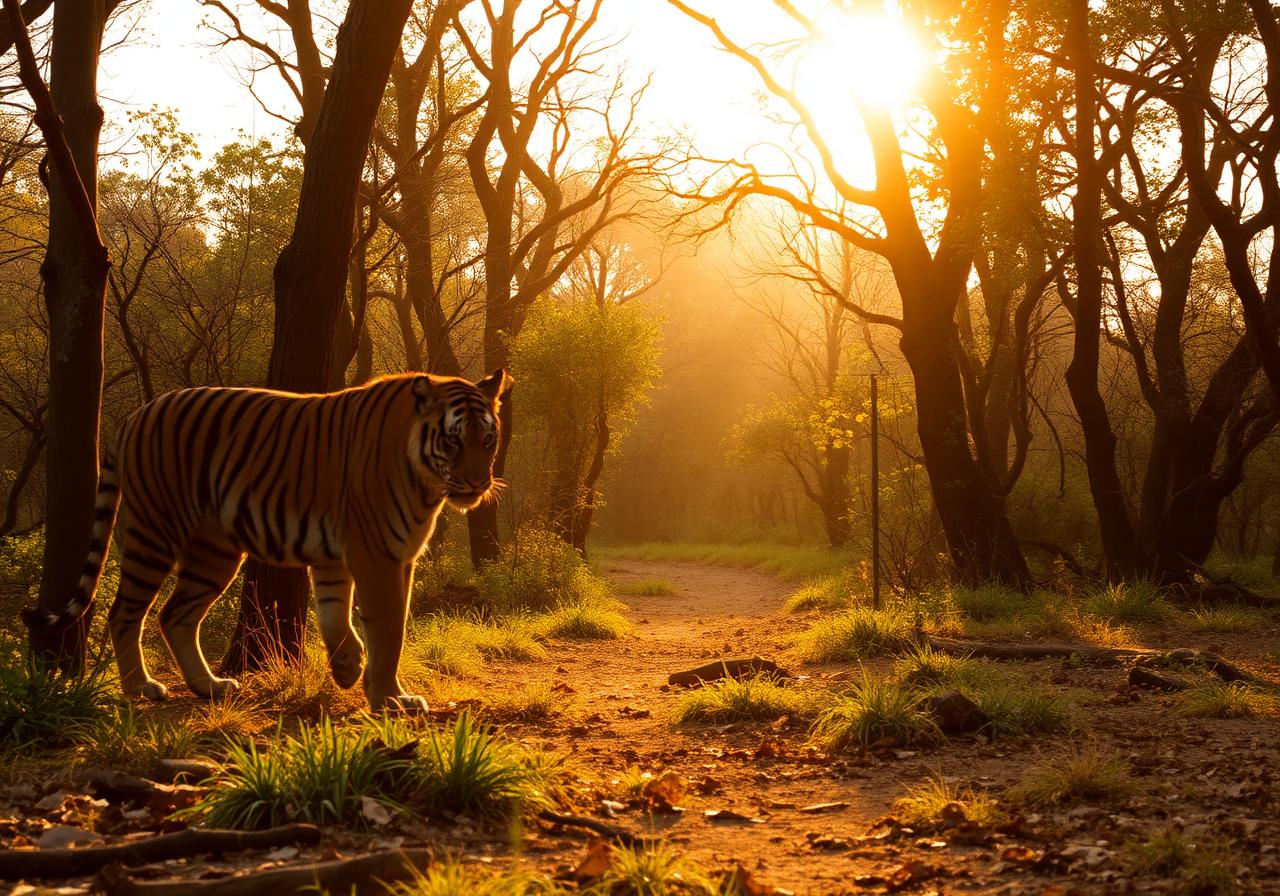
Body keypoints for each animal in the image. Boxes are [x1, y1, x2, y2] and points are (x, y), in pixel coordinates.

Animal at [23, 370, 511, 712]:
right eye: (453, 440)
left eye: (488, 439)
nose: (477, 483)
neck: (427, 482)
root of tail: (135, 414)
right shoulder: (381, 556)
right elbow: (390, 630)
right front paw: (391, 697)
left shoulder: (342, 557)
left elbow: (335, 615)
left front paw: (347, 668)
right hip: (156, 531)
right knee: (124, 610)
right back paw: (141, 687)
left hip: (214, 551)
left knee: (175, 614)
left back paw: (209, 686)